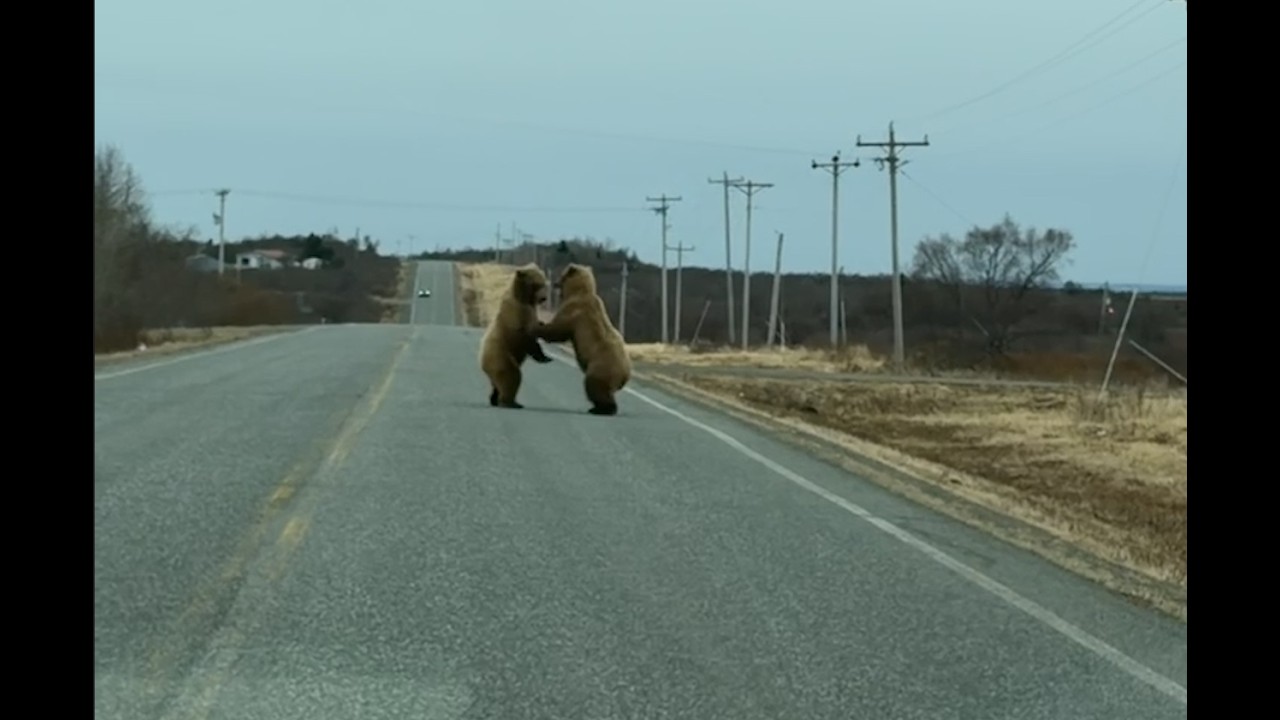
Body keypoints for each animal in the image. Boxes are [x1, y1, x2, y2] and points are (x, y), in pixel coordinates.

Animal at [478, 263, 554, 409]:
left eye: (544, 283)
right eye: (537, 284)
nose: (543, 298)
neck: (524, 299)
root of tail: (481, 362)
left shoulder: (531, 311)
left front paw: (546, 356)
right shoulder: (517, 313)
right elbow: (526, 337)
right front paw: (544, 357)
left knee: (497, 383)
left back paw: (494, 398)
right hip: (499, 356)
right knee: (511, 375)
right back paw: (509, 402)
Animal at [531, 262, 632, 415]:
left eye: (562, 276)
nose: (554, 283)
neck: (578, 292)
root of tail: (626, 374)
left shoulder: (575, 313)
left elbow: (558, 330)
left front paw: (539, 325)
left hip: (600, 367)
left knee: (595, 386)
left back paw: (602, 408)